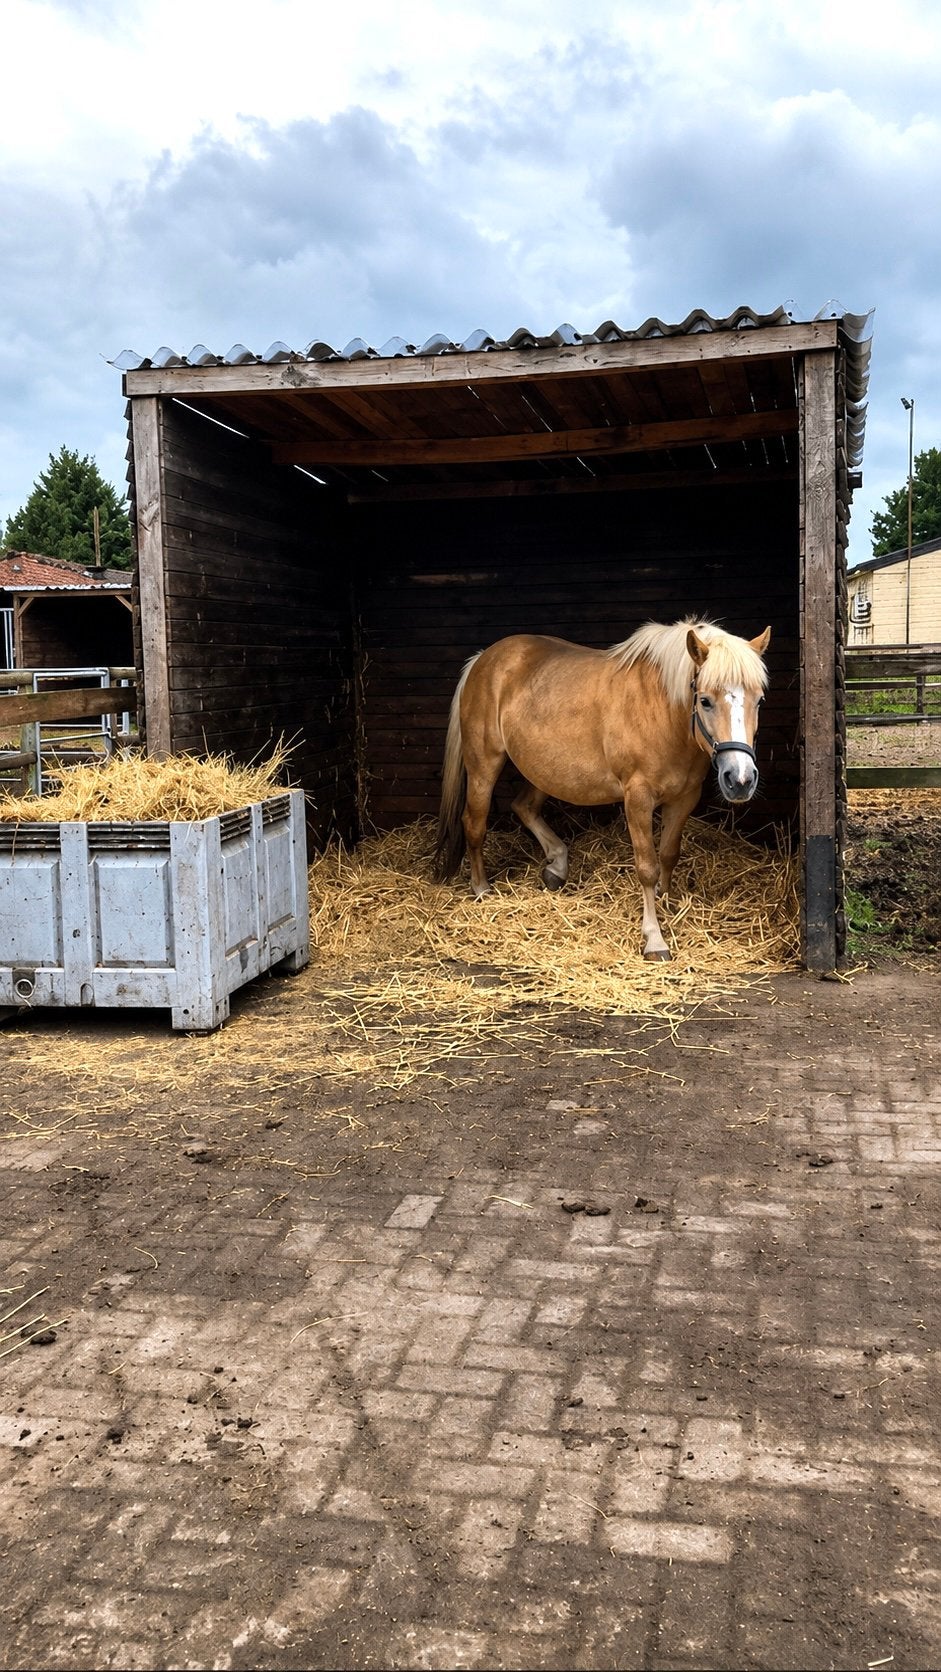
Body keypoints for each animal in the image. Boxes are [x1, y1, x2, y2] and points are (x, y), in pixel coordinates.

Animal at [433, 617, 771, 960]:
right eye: (705, 700)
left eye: (759, 700)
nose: (740, 780)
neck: (661, 712)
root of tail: (483, 659)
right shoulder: (638, 799)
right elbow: (647, 866)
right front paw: (654, 939)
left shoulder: (684, 798)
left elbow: (669, 855)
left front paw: (666, 901)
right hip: (484, 766)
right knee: (474, 823)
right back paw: (481, 888)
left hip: (544, 770)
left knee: (523, 807)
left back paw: (557, 866)